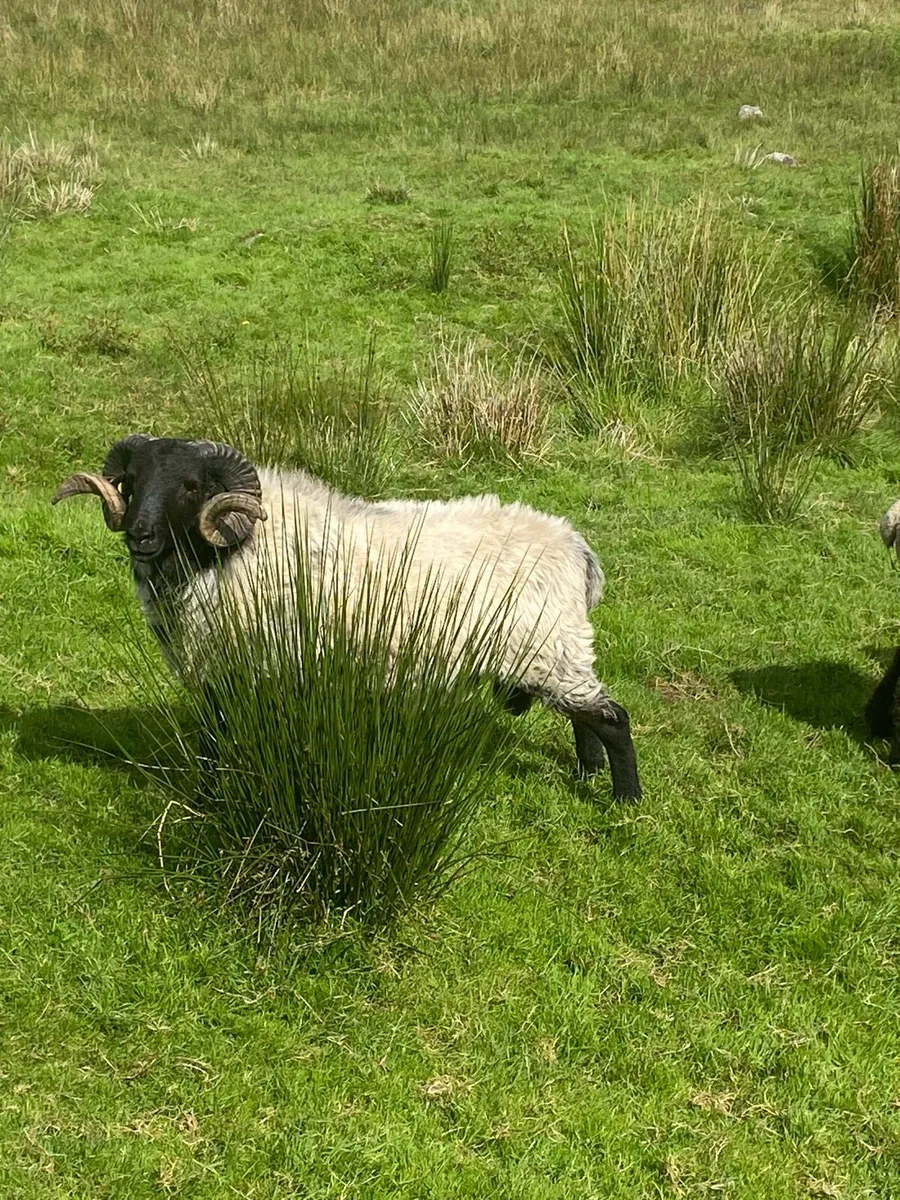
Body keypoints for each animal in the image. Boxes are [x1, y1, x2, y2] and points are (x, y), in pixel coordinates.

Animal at [52, 434, 642, 799]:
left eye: (191, 486)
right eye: (131, 482)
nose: (140, 536)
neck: (230, 550)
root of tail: (576, 546)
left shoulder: (251, 664)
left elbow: (219, 743)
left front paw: (218, 794)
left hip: (547, 644)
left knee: (611, 717)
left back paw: (624, 799)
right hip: (553, 649)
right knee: (584, 714)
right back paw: (586, 772)